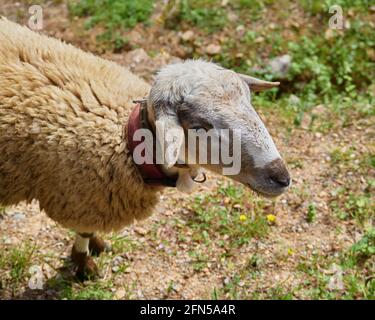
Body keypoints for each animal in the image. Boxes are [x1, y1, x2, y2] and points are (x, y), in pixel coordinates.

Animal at [0, 18, 290, 278]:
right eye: (199, 126)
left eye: (250, 102)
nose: (282, 177)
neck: (127, 145)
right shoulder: (79, 198)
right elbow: (83, 230)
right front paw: (84, 263)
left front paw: (95, 246)